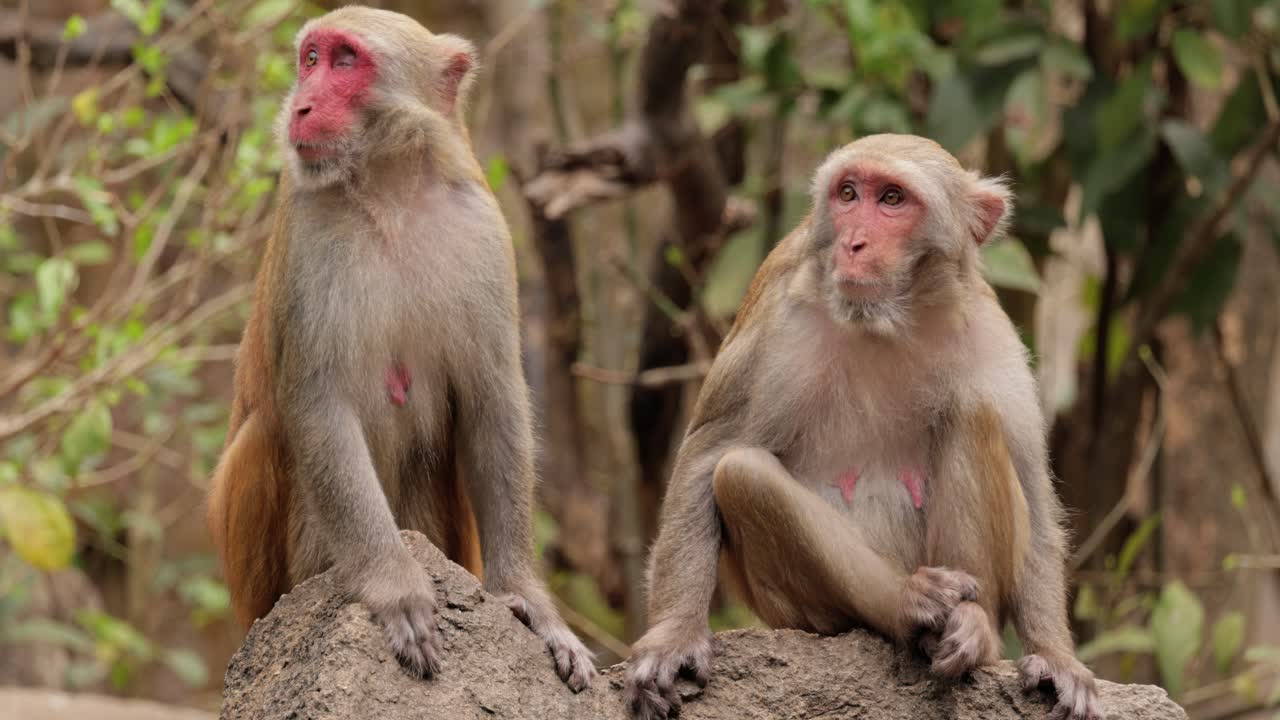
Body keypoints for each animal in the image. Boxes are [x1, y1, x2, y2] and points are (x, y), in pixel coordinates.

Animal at [205, 6, 595, 690]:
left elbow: (493, 399)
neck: (390, 193)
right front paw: (394, 585)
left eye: (345, 60)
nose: (301, 105)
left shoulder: (483, 231)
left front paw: (528, 598)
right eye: (310, 59)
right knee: (264, 435)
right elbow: (318, 407)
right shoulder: (308, 230)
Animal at [624, 134, 1101, 720]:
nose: (853, 242)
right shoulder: (779, 320)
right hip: (796, 615)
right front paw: (675, 635)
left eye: (892, 199)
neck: (886, 319)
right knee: (742, 474)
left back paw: (974, 629)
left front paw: (1055, 655)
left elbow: (1034, 491)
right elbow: (708, 453)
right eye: (848, 194)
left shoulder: (991, 331)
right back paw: (908, 606)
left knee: (972, 410)